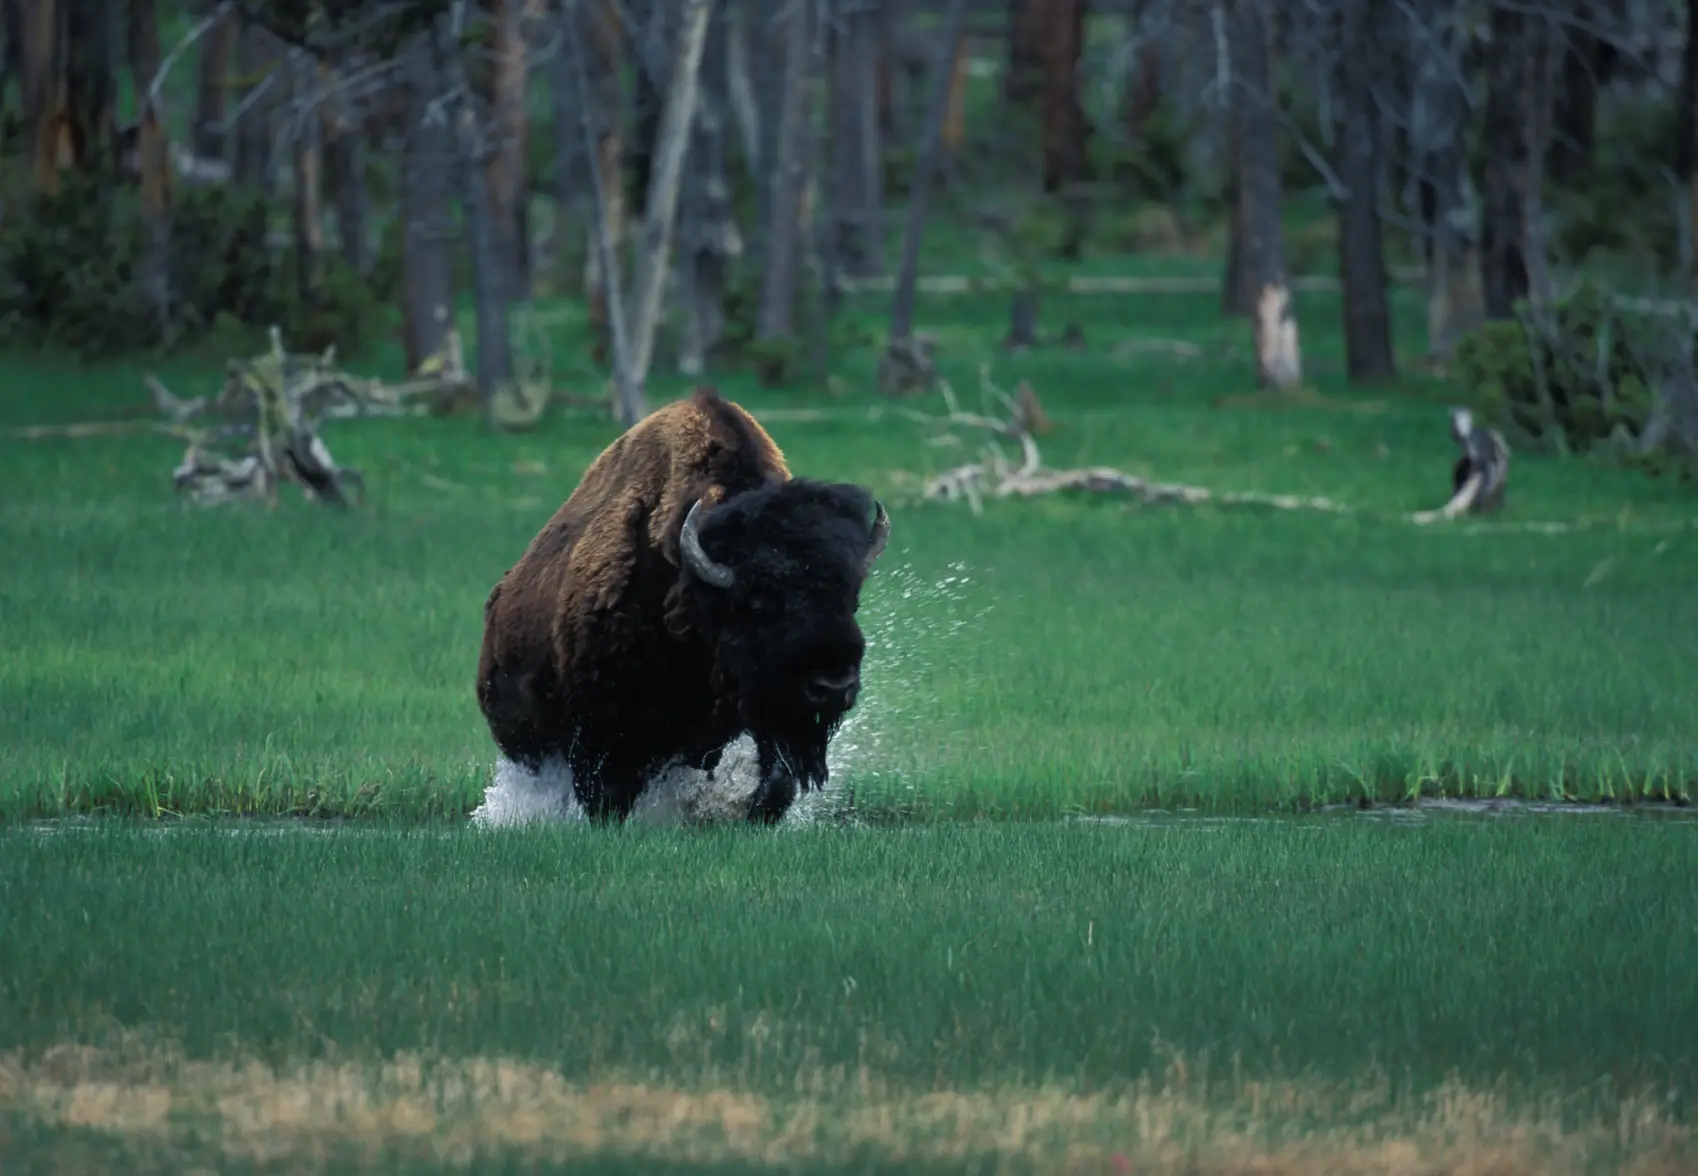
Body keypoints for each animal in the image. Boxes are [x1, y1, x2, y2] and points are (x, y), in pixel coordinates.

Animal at [475, 386, 891, 824]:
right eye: (759, 602)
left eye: (851, 599)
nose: (833, 686)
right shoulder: (602, 730)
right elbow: (607, 791)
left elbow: (778, 779)